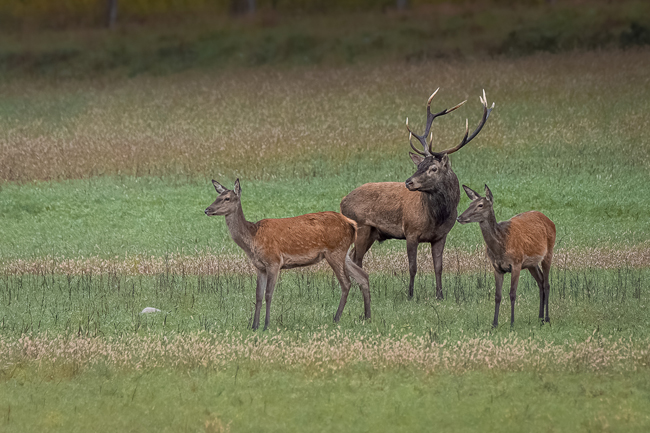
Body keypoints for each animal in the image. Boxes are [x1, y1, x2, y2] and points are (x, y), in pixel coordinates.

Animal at [205, 177, 372, 330]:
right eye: (216, 197)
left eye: (227, 198)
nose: (207, 209)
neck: (253, 238)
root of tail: (352, 224)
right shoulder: (260, 267)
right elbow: (258, 295)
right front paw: (254, 326)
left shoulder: (274, 261)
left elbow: (268, 294)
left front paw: (266, 325)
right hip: (343, 253)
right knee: (363, 276)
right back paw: (367, 316)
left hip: (335, 250)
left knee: (346, 283)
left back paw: (336, 318)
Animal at [456, 184, 552, 326]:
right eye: (470, 203)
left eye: (480, 205)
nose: (459, 217)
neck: (500, 247)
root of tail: (550, 221)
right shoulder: (497, 267)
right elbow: (497, 295)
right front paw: (494, 324)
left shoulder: (516, 263)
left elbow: (512, 293)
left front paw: (512, 323)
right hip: (531, 264)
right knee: (540, 282)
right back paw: (539, 318)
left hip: (549, 251)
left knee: (546, 284)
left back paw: (547, 318)